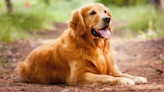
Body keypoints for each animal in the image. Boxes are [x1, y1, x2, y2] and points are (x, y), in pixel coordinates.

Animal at [16, 3, 147, 86]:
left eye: (105, 11)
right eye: (92, 13)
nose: (107, 18)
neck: (95, 47)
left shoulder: (112, 69)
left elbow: (125, 74)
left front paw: (137, 77)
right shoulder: (79, 76)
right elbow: (106, 77)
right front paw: (122, 80)